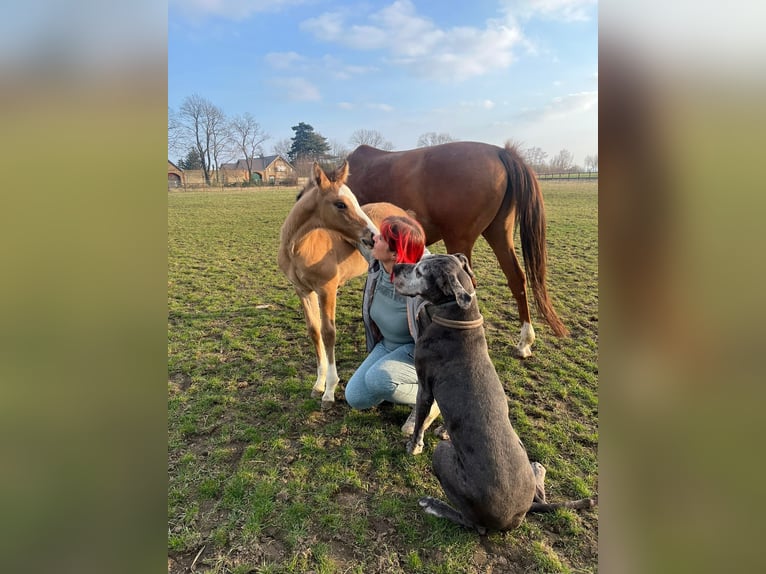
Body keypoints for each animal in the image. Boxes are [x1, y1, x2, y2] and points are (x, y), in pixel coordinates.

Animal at [280, 160, 414, 408]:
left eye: (356, 201)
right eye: (340, 204)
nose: (373, 236)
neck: (299, 247)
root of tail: (403, 212)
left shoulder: (327, 289)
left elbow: (328, 332)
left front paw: (330, 391)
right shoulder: (302, 290)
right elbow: (314, 330)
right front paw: (318, 384)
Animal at [392, 256, 596, 536]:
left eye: (420, 271)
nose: (395, 267)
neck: (460, 318)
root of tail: (516, 517)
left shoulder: (424, 386)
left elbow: (420, 420)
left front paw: (414, 446)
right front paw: (443, 429)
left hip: (445, 460)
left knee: (472, 523)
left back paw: (434, 505)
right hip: (522, 455)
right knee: (539, 496)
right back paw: (538, 470)